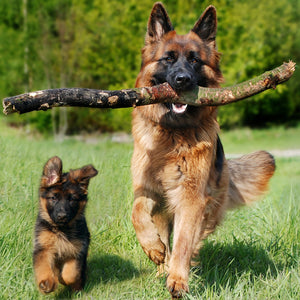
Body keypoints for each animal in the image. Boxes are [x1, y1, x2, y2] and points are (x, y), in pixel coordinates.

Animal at [33, 156, 97, 294]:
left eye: (72, 199)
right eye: (53, 198)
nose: (62, 216)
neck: (62, 229)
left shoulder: (77, 250)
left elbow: (70, 274)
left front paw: (63, 280)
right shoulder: (43, 248)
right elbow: (44, 267)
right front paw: (47, 283)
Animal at [132, 2, 276, 298]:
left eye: (195, 61)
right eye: (168, 59)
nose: (182, 80)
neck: (173, 134)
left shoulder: (191, 198)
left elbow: (184, 241)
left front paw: (178, 279)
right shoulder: (147, 188)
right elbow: (137, 213)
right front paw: (152, 248)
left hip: (208, 207)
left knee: (192, 239)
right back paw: (161, 263)